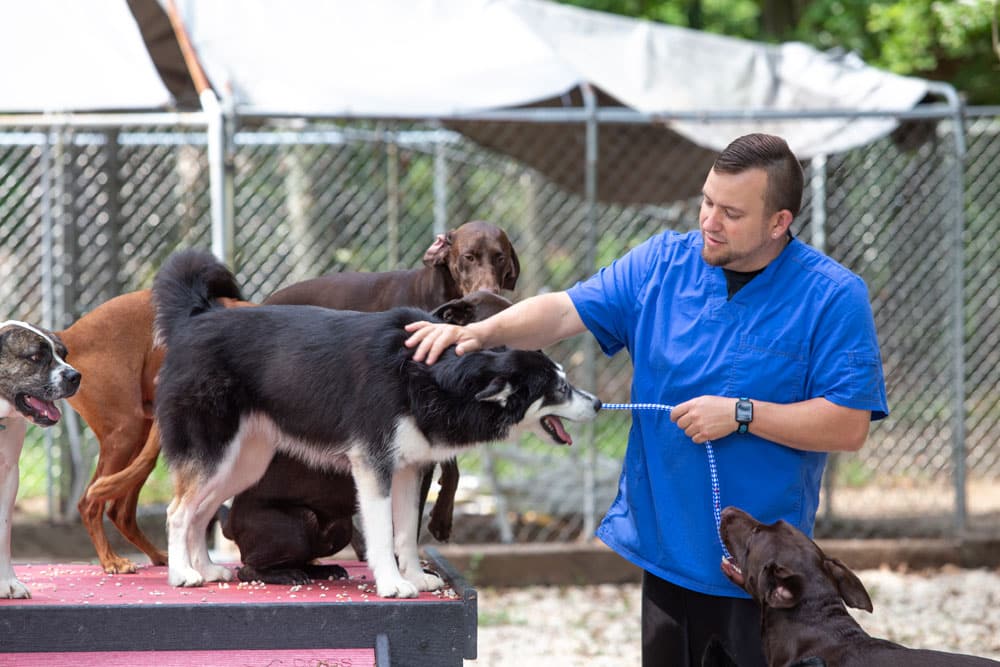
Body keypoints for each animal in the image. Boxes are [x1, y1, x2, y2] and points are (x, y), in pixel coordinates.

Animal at [0, 320, 80, 596]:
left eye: (64, 354)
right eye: (35, 357)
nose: (75, 376)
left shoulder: (9, 476)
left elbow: (3, 533)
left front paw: (7, 582)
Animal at [152, 252, 596, 600]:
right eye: (560, 387)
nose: (597, 404)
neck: (428, 371)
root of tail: (197, 319)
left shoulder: (410, 470)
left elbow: (407, 531)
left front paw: (414, 576)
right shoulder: (374, 467)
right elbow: (383, 532)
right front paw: (392, 583)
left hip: (242, 464)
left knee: (201, 512)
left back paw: (206, 569)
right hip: (215, 455)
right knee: (178, 512)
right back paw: (184, 574)